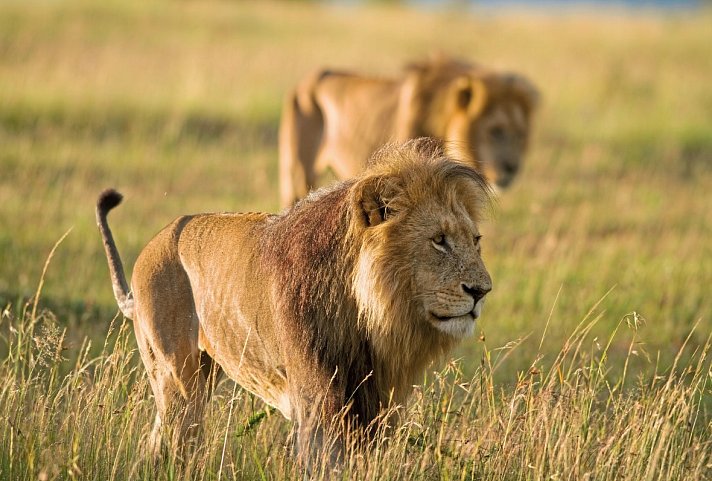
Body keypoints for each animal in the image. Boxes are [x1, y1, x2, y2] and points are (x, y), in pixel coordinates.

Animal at [97, 139, 492, 464]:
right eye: (438, 240)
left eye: (475, 240)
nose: (482, 291)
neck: (368, 314)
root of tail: (155, 241)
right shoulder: (317, 398)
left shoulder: (376, 399)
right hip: (176, 377)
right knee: (177, 435)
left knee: (156, 442)